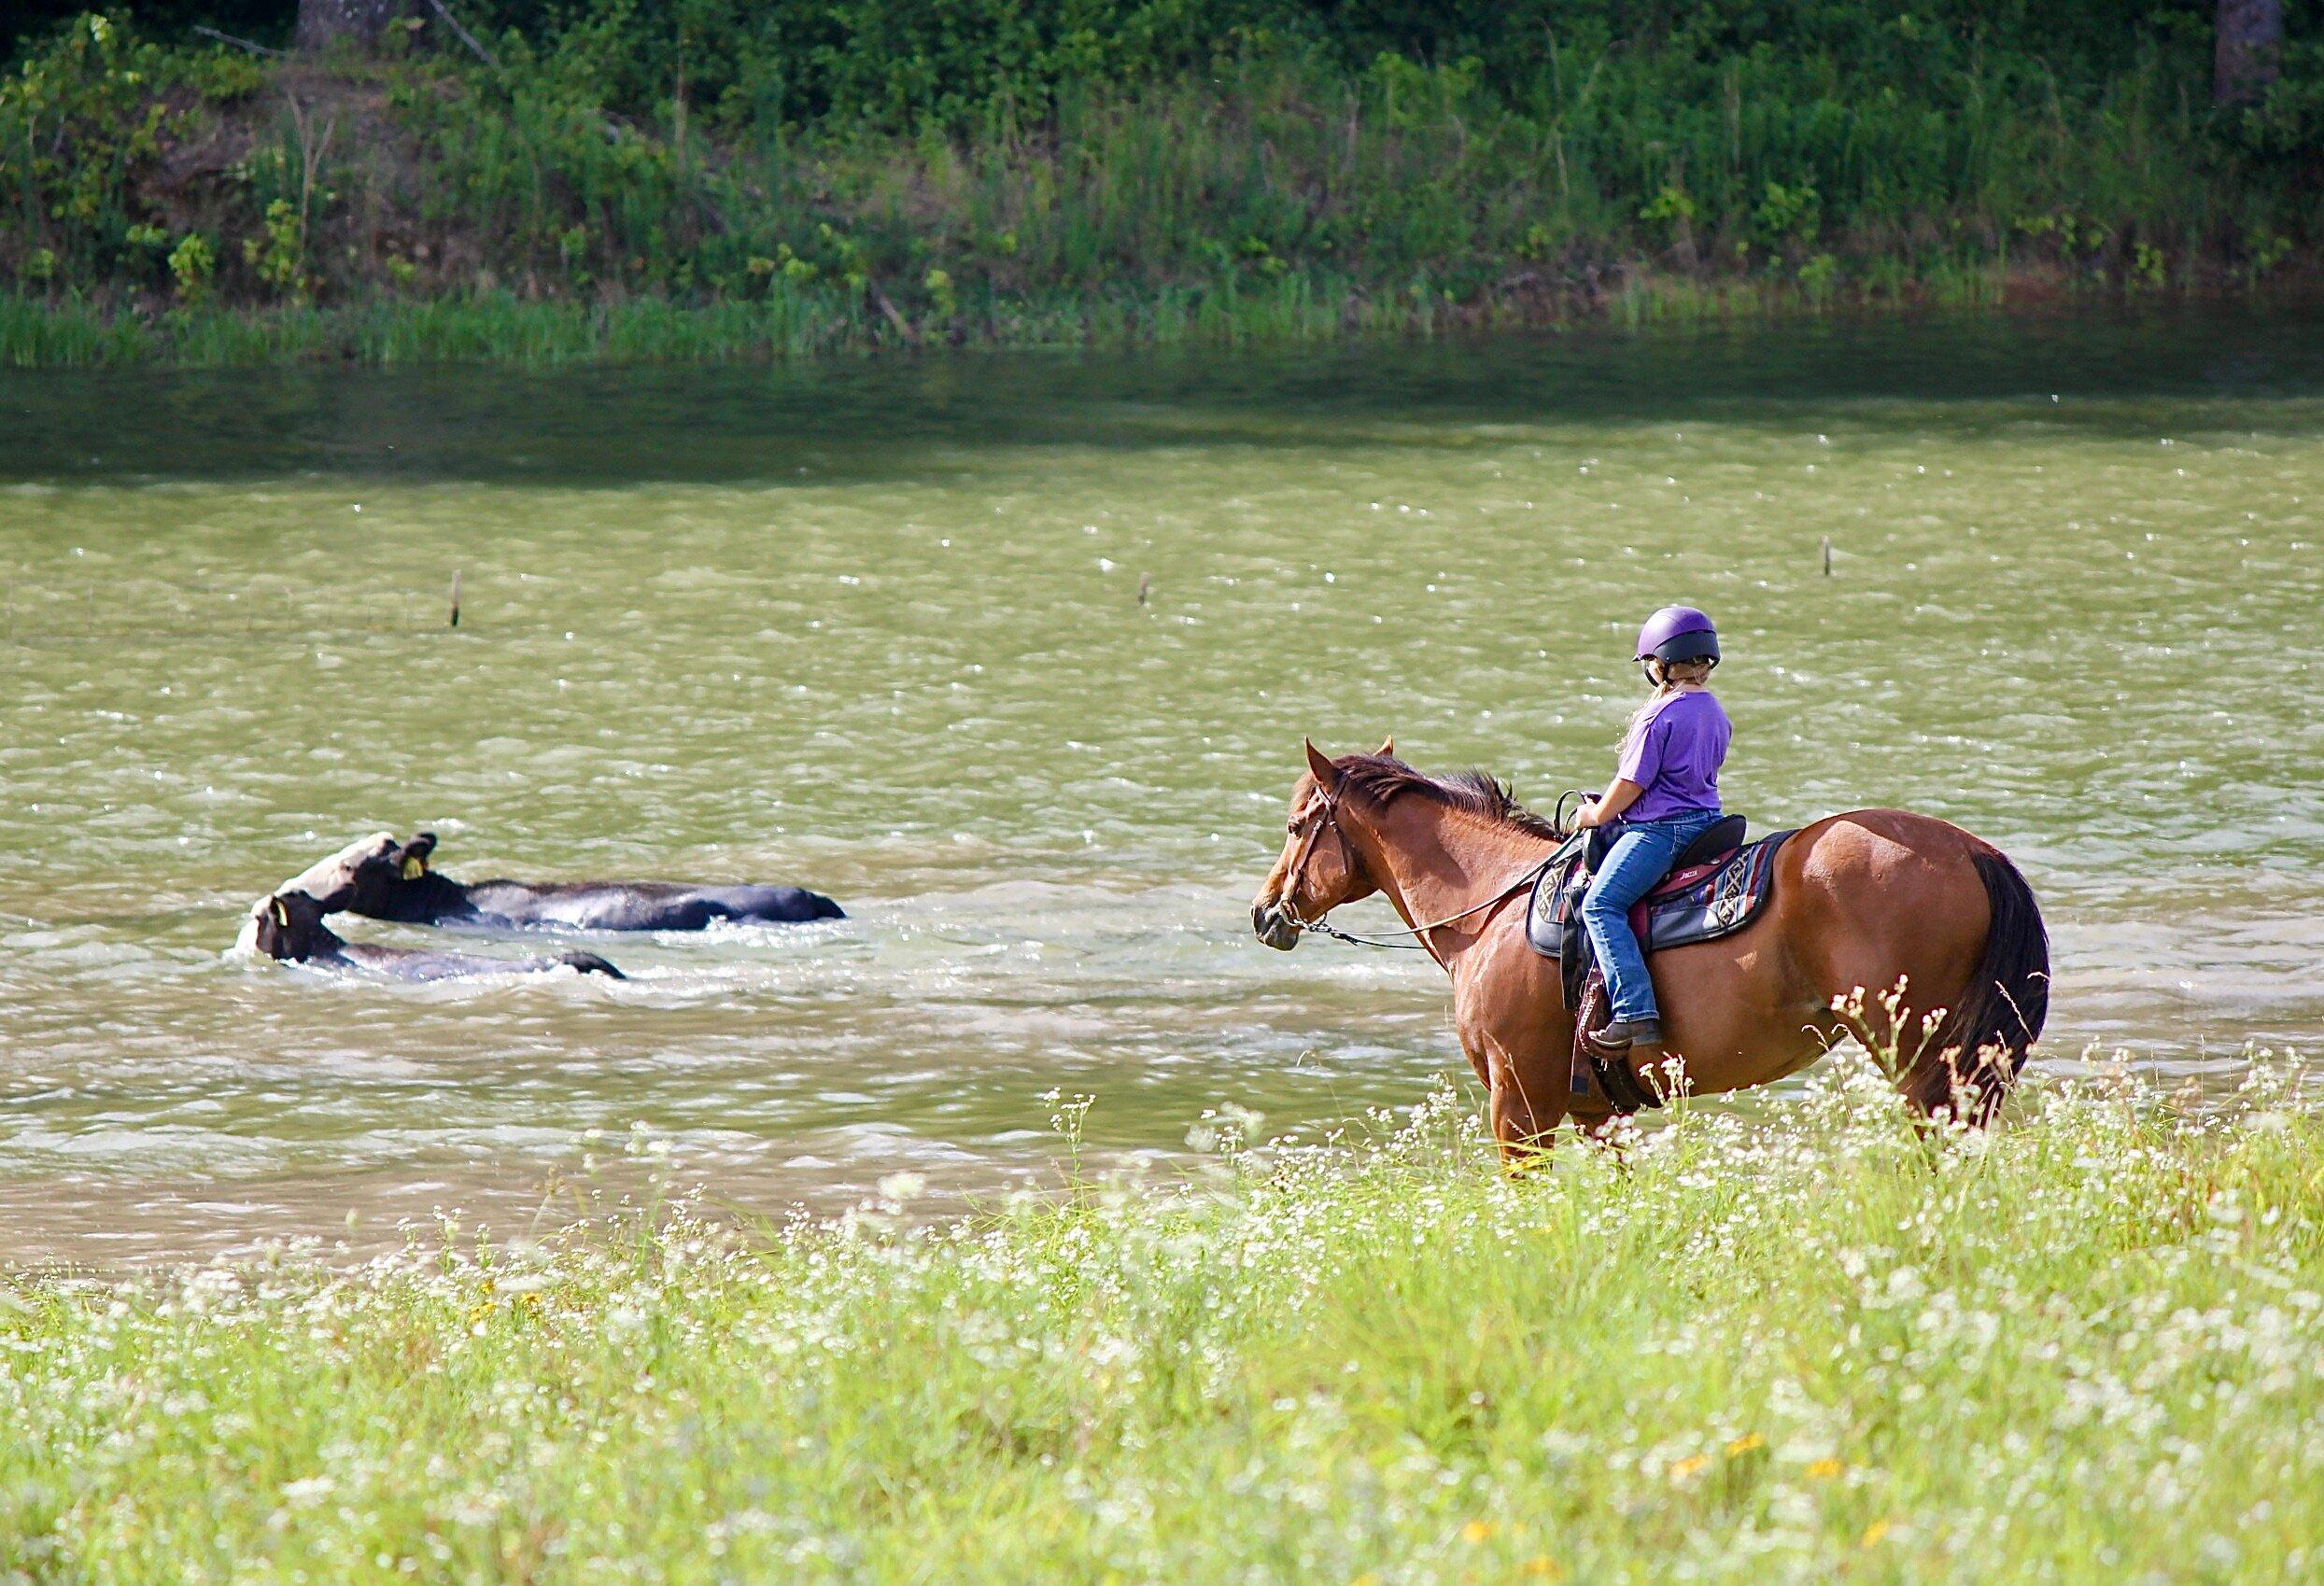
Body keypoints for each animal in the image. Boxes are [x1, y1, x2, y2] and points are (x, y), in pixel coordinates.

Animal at [1255, 743, 2054, 1151]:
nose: (1265, 912)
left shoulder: (1518, 1105)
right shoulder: (1595, 1113)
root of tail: (1971, 850)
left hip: (1918, 1057)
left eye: (1296, 826)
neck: (1492, 904)